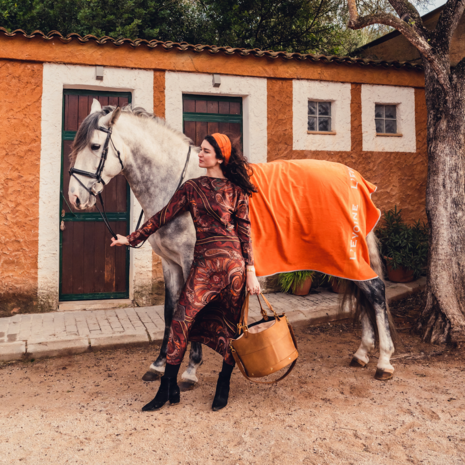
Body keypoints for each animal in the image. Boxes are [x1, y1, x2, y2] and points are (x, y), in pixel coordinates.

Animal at [69, 100, 396, 380]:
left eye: (95, 146)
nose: (74, 198)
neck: (177, 184)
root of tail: (354, 179)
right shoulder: (170, 263)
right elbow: (170, 312)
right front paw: (159, 364)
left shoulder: (192, 261)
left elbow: (193, 310)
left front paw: (190, 369)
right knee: (365, 293)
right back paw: (362, 353)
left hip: (345, 254)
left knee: (375, 291)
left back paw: (383, 361)